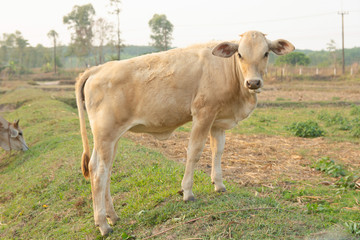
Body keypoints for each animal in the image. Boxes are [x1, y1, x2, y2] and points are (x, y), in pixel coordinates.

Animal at [76, 31, 296, 235]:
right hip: (106, 135)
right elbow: (194, 152)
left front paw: (219, 184)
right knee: (99, 172)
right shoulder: (203, 113)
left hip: (110, 139)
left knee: (104, 170)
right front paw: (187, 192)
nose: (253, 83)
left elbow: (218, 152)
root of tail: (98, 68)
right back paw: (103, 224)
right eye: (240, 54)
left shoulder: (218, 121)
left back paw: (112, 216)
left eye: (266, 53)